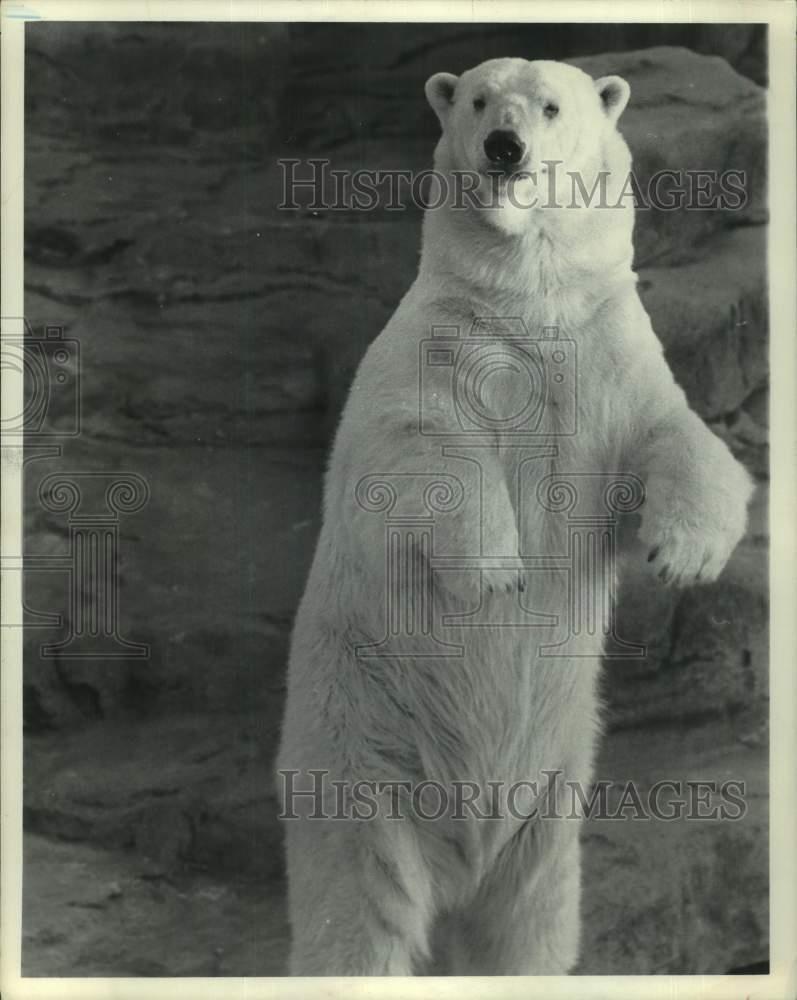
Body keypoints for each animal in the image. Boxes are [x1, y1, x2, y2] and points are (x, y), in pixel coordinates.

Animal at [275, 57, 755, 976]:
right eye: (474, 99)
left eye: (551, 105)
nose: (504, 145)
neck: (530, 310)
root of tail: (461, 855)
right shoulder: (432, 354)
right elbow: (420, 453)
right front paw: (498, 570)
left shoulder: (608, 359)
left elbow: (673, 436)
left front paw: (682, 556)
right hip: (359, 753)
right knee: (357, 909)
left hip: (553, 802)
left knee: (528, 924)